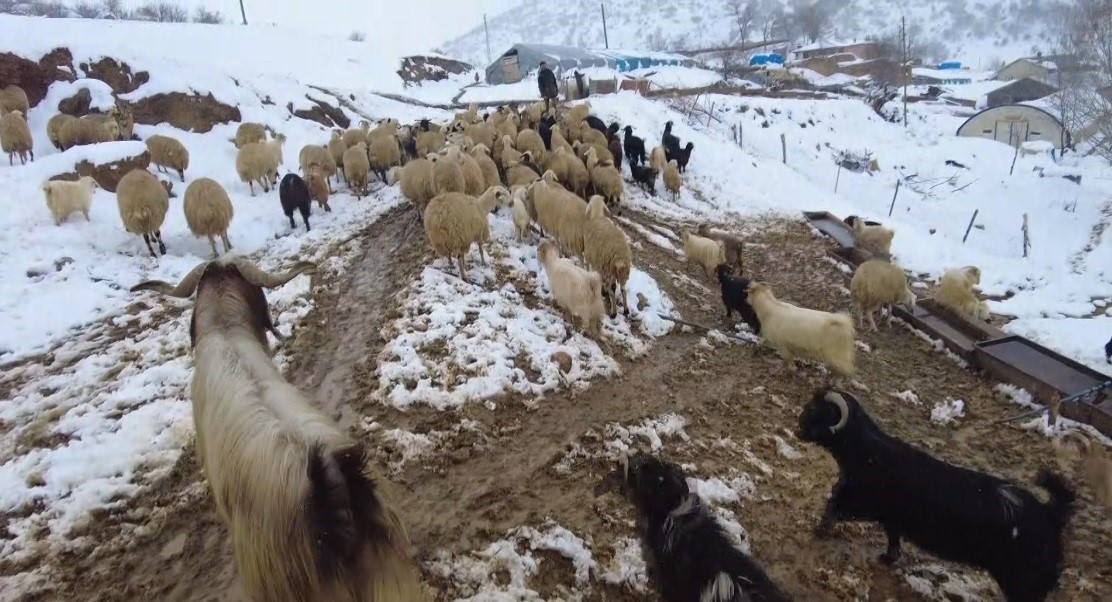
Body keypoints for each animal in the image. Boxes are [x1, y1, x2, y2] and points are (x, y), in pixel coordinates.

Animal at [800, 385, 1076, 600]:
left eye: (816, 411)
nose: (799, 427)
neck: (866, 452)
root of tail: (1050, 512)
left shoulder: (862, 501)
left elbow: (834, 505)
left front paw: (819, 529)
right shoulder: (890, 516)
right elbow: (892, 538)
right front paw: (888, 558)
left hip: (1022, 583)